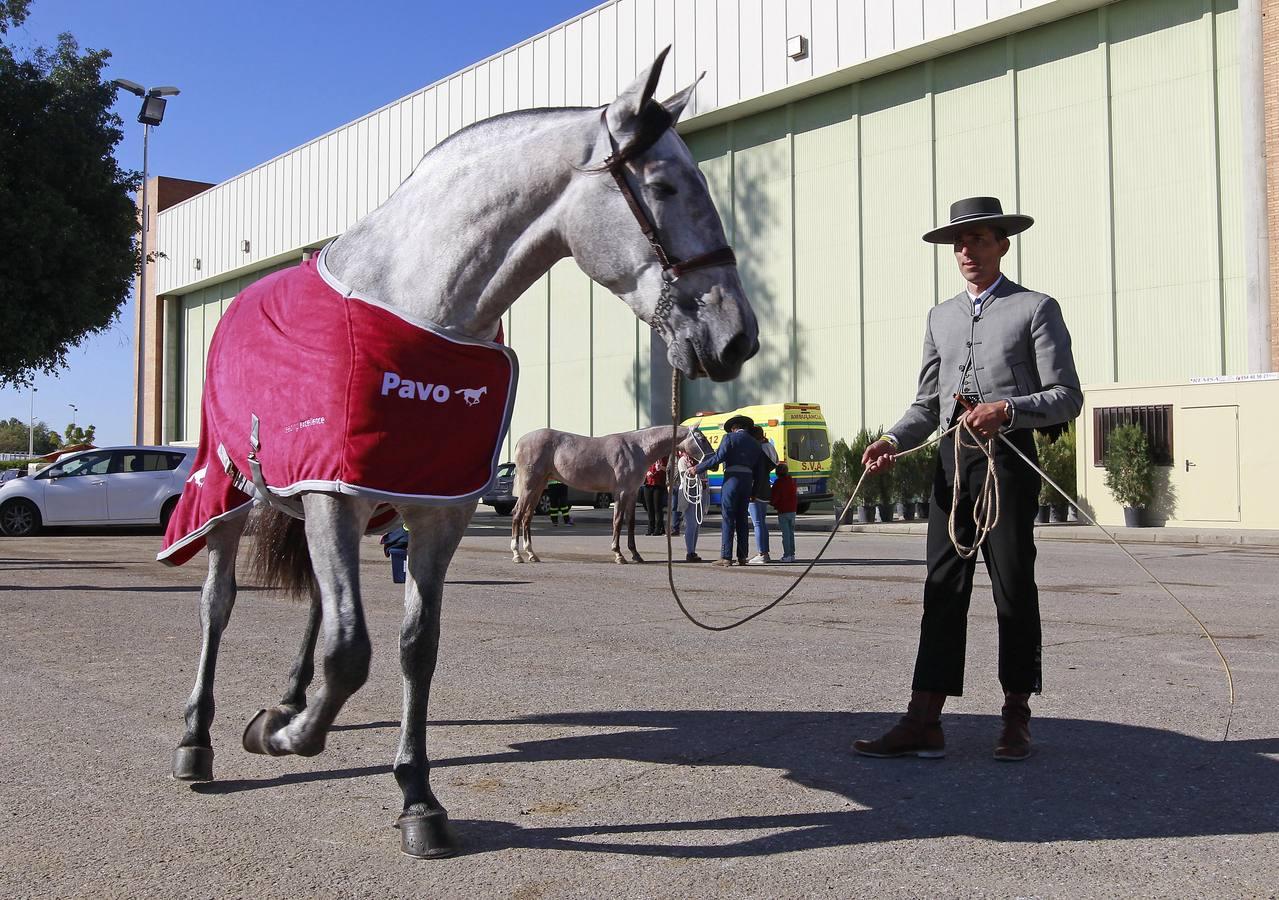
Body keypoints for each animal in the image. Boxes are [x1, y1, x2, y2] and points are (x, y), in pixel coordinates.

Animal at [506, 426, 690, 565]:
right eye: (697, 437)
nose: (670, 472)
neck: (637, 448)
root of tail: (520, 441)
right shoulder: (621, 492)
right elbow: (617, 521)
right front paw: (618, 554)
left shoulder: (631, 493)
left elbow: (630, 523)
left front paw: (636, 554)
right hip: (529, 486)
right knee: (517, 514)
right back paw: (517, 555)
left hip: (538, 487)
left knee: (527, 517)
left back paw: (532, 554)